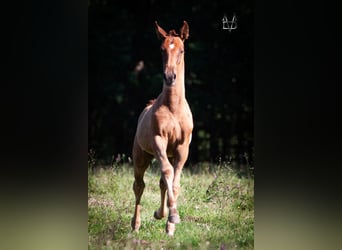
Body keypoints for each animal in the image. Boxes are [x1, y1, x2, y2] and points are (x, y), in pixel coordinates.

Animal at [132, 21, 194, 236]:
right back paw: (136, 225)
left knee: (161, 183)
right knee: (139, 185)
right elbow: (167, 173)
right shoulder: (159, 141)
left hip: (169, 153)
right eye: (162, 50)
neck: (173, 108)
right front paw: (172, 214)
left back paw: (161, 216)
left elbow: (174, 184)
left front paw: (171, 222)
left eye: (182, 50)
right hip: (141, 157)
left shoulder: (182, 148)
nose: (170, 77)